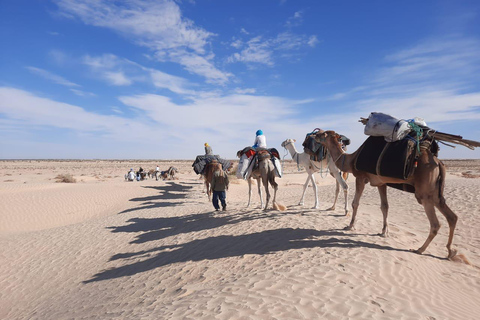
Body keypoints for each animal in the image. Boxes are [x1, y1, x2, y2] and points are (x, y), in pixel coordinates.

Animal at [316, 129, 480, 258]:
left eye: (324, 134)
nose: (315, 134)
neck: (350, 159)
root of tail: (438, 163)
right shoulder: (381, 183)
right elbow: (384, 206)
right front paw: (384, 232)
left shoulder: (360, 177)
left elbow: (355, 203)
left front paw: (350, 226)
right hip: (435, 192)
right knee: (452, 216)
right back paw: (450, 251)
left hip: (424, 192)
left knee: (435, 223)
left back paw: (420, 249)